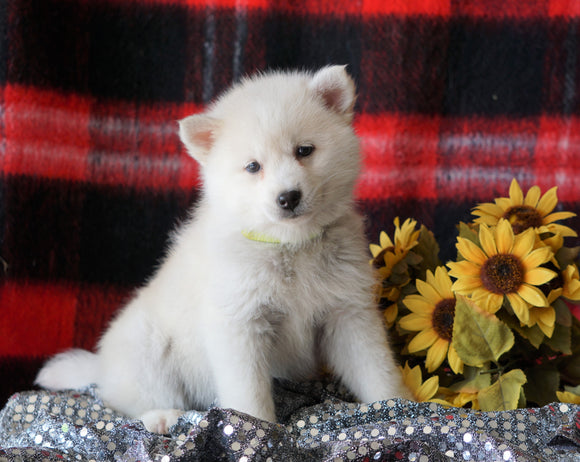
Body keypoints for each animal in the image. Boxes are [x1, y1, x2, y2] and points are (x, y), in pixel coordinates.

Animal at [36, 65, 410, 434]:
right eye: (253, 167)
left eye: (304, 150)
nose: (288, 197)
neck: (288, 245)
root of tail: (100, 366)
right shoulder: (239, 325)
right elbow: (250, 393)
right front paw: (256, 429)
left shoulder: (348, 313)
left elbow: (375, 369)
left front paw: (400, 405)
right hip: (147, 350)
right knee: (132, 401)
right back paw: (161, 416)